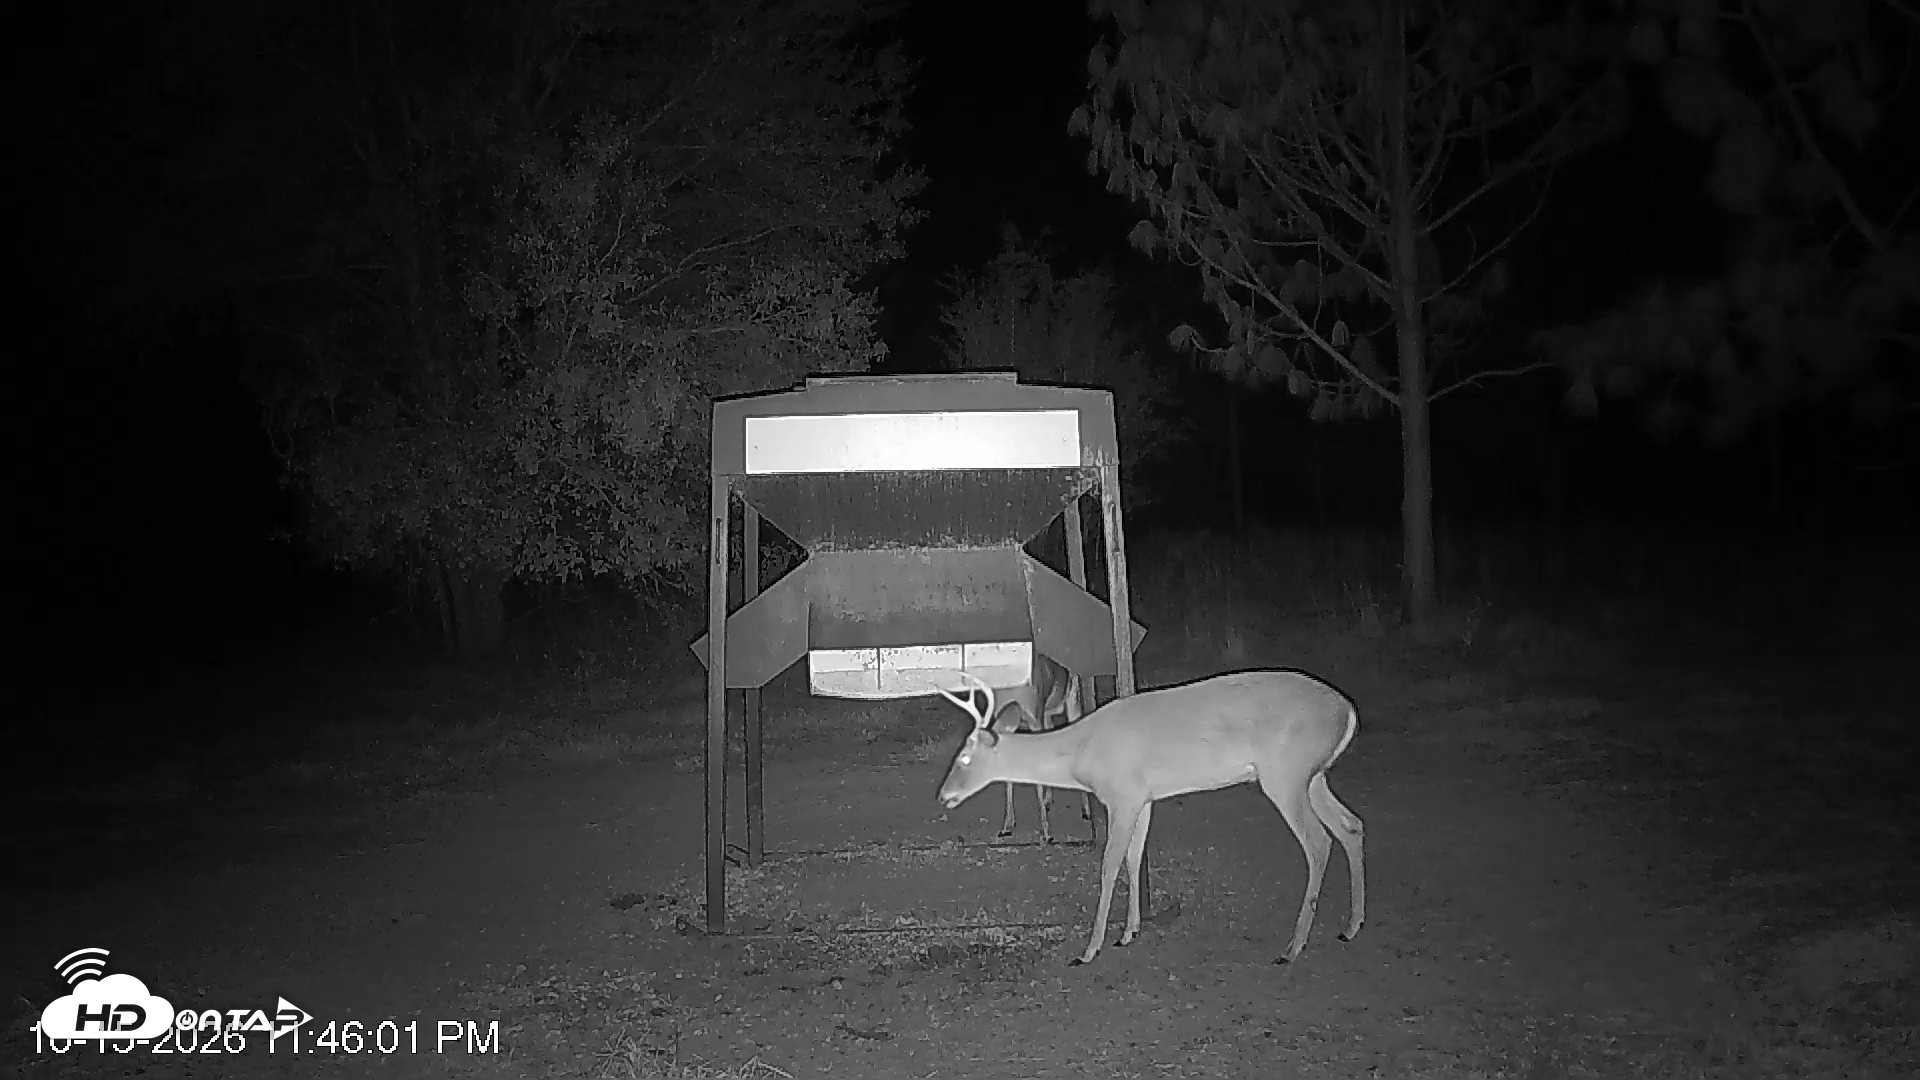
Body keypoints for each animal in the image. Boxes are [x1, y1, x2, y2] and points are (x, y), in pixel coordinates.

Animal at [981, 653, 1095, 844]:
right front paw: (1006, 826)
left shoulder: (1035, 720)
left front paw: (1046, 833)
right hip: (1047, 718)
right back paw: (1049, 801)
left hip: (1072, 704)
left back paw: (1085, 811)